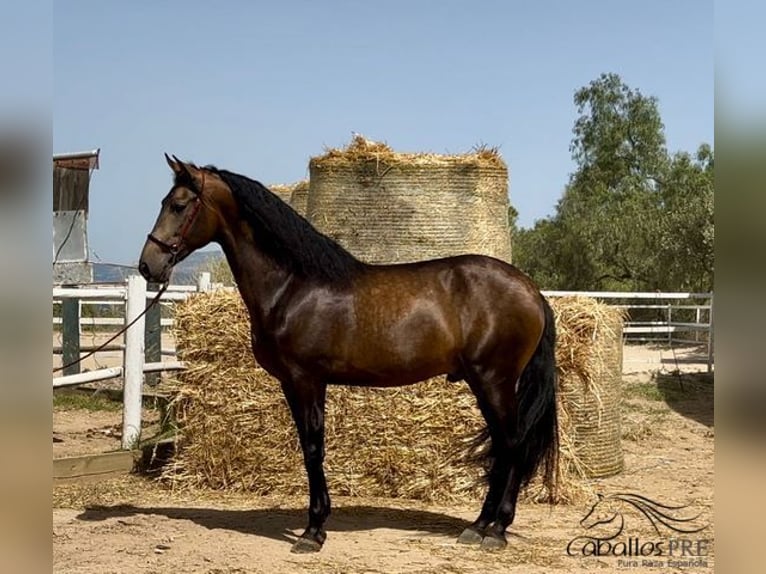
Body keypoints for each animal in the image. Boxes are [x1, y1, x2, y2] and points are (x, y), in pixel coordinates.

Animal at [140, 155, 560, 556]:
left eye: (178, 205)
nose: (148, 265)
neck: (293, 285)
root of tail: (531, 291)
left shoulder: (306, 380)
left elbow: (313, 448)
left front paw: (313, 531)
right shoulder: (296, 384)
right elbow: (309, 446)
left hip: (493, 380)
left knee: (511, 444)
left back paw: (496, 530)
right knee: (504, 446)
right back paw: (478, 526)